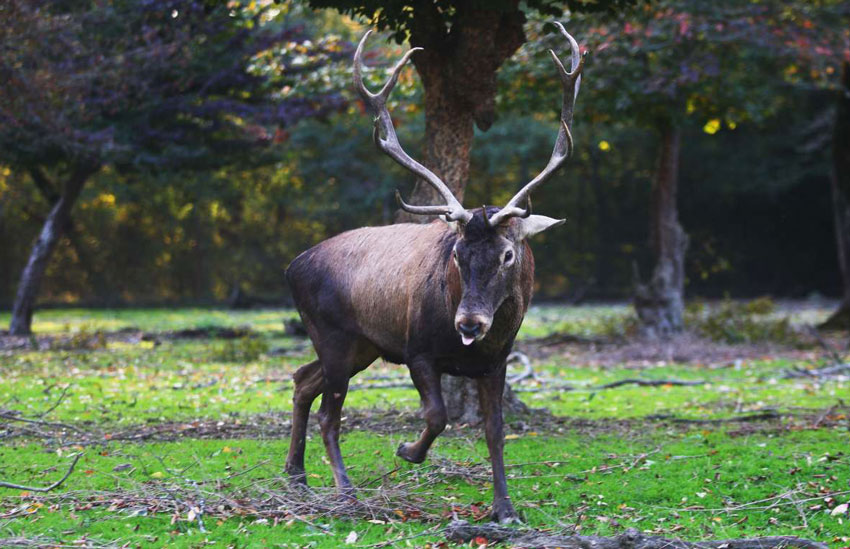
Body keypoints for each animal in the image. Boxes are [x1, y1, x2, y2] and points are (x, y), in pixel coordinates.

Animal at [284, 23, 584, 520]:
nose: (469, 323)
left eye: (508, 254)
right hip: (333, 334)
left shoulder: (496, 361)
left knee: (302, 380)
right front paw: (407, 451)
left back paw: (296, 475)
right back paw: (344, 490)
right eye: (457, 253)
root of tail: (291, 266)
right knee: (329, 410)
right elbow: (437, 416)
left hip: (363, 344)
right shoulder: (417, 349)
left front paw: (505, 507)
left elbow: (496, 432)